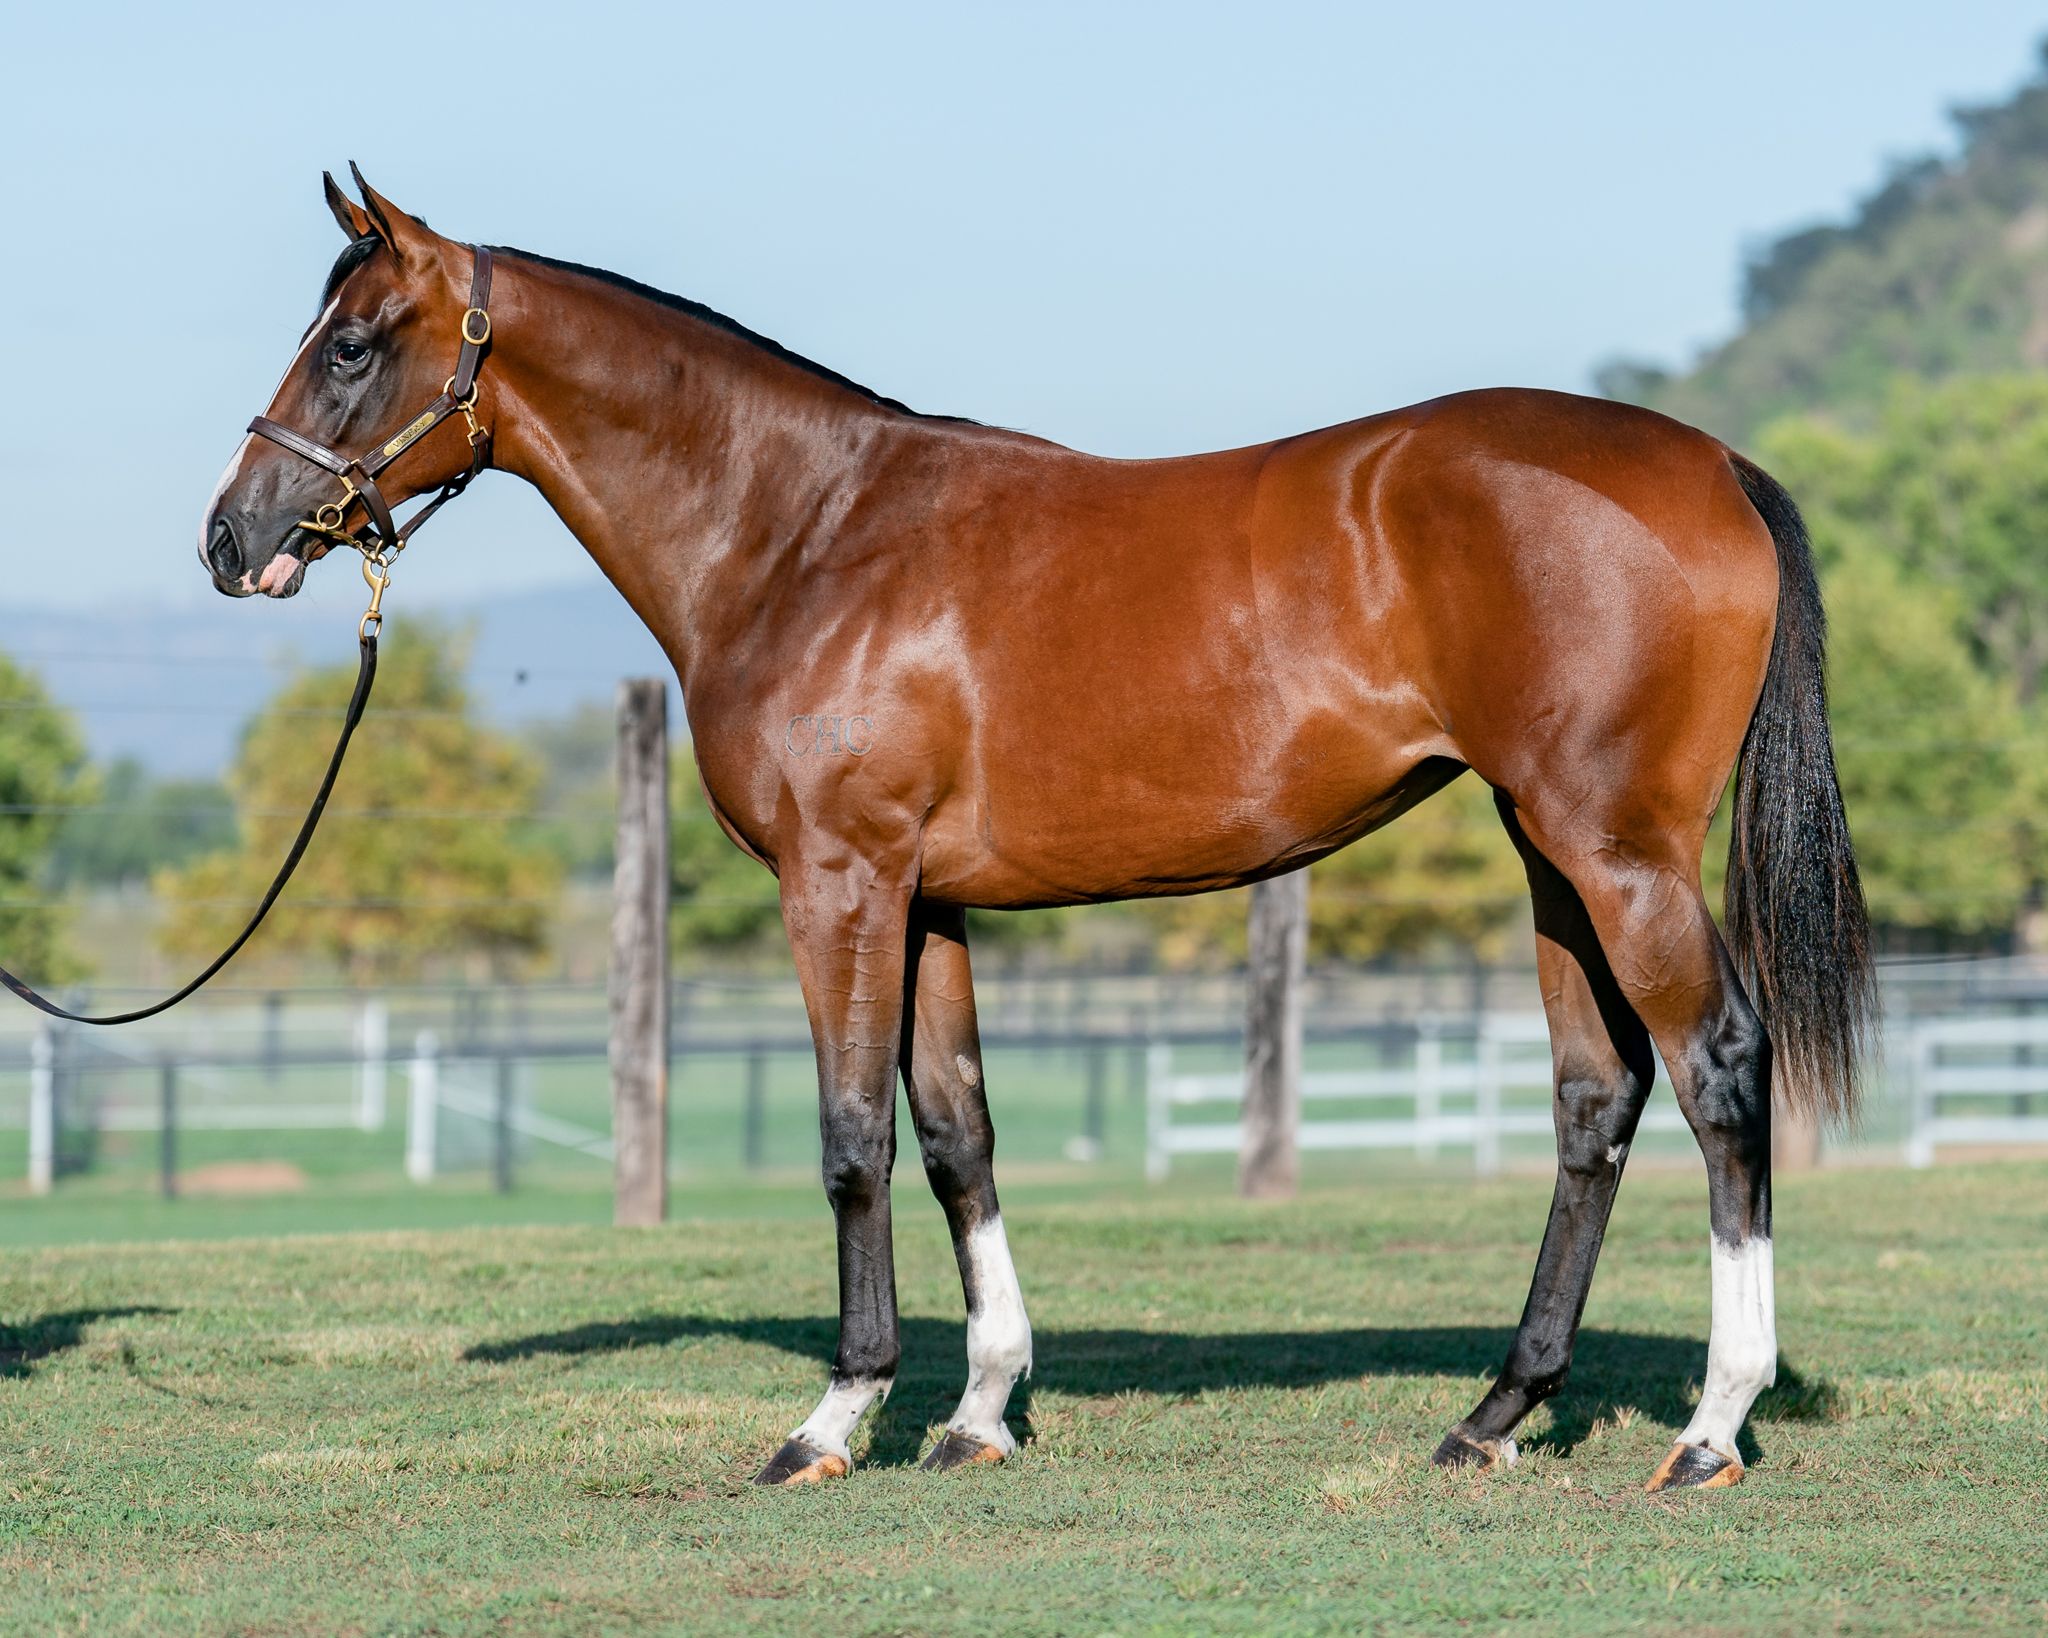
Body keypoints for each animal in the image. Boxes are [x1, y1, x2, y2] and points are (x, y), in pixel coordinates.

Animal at [203, 173, 1875, 1490]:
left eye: (351, 342)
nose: (231, 536)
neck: (804, 534)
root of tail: (1712, 463)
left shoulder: (842, 884)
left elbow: (854, 1139)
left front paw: (834, 1418)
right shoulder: (928, 898)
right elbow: (957, 1132)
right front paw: (980, 1409)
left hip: (1618, 851)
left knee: (1721, 1068)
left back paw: (1712, 1425)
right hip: (1549, 853)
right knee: (1599, 1096)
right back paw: (1494, 1415)